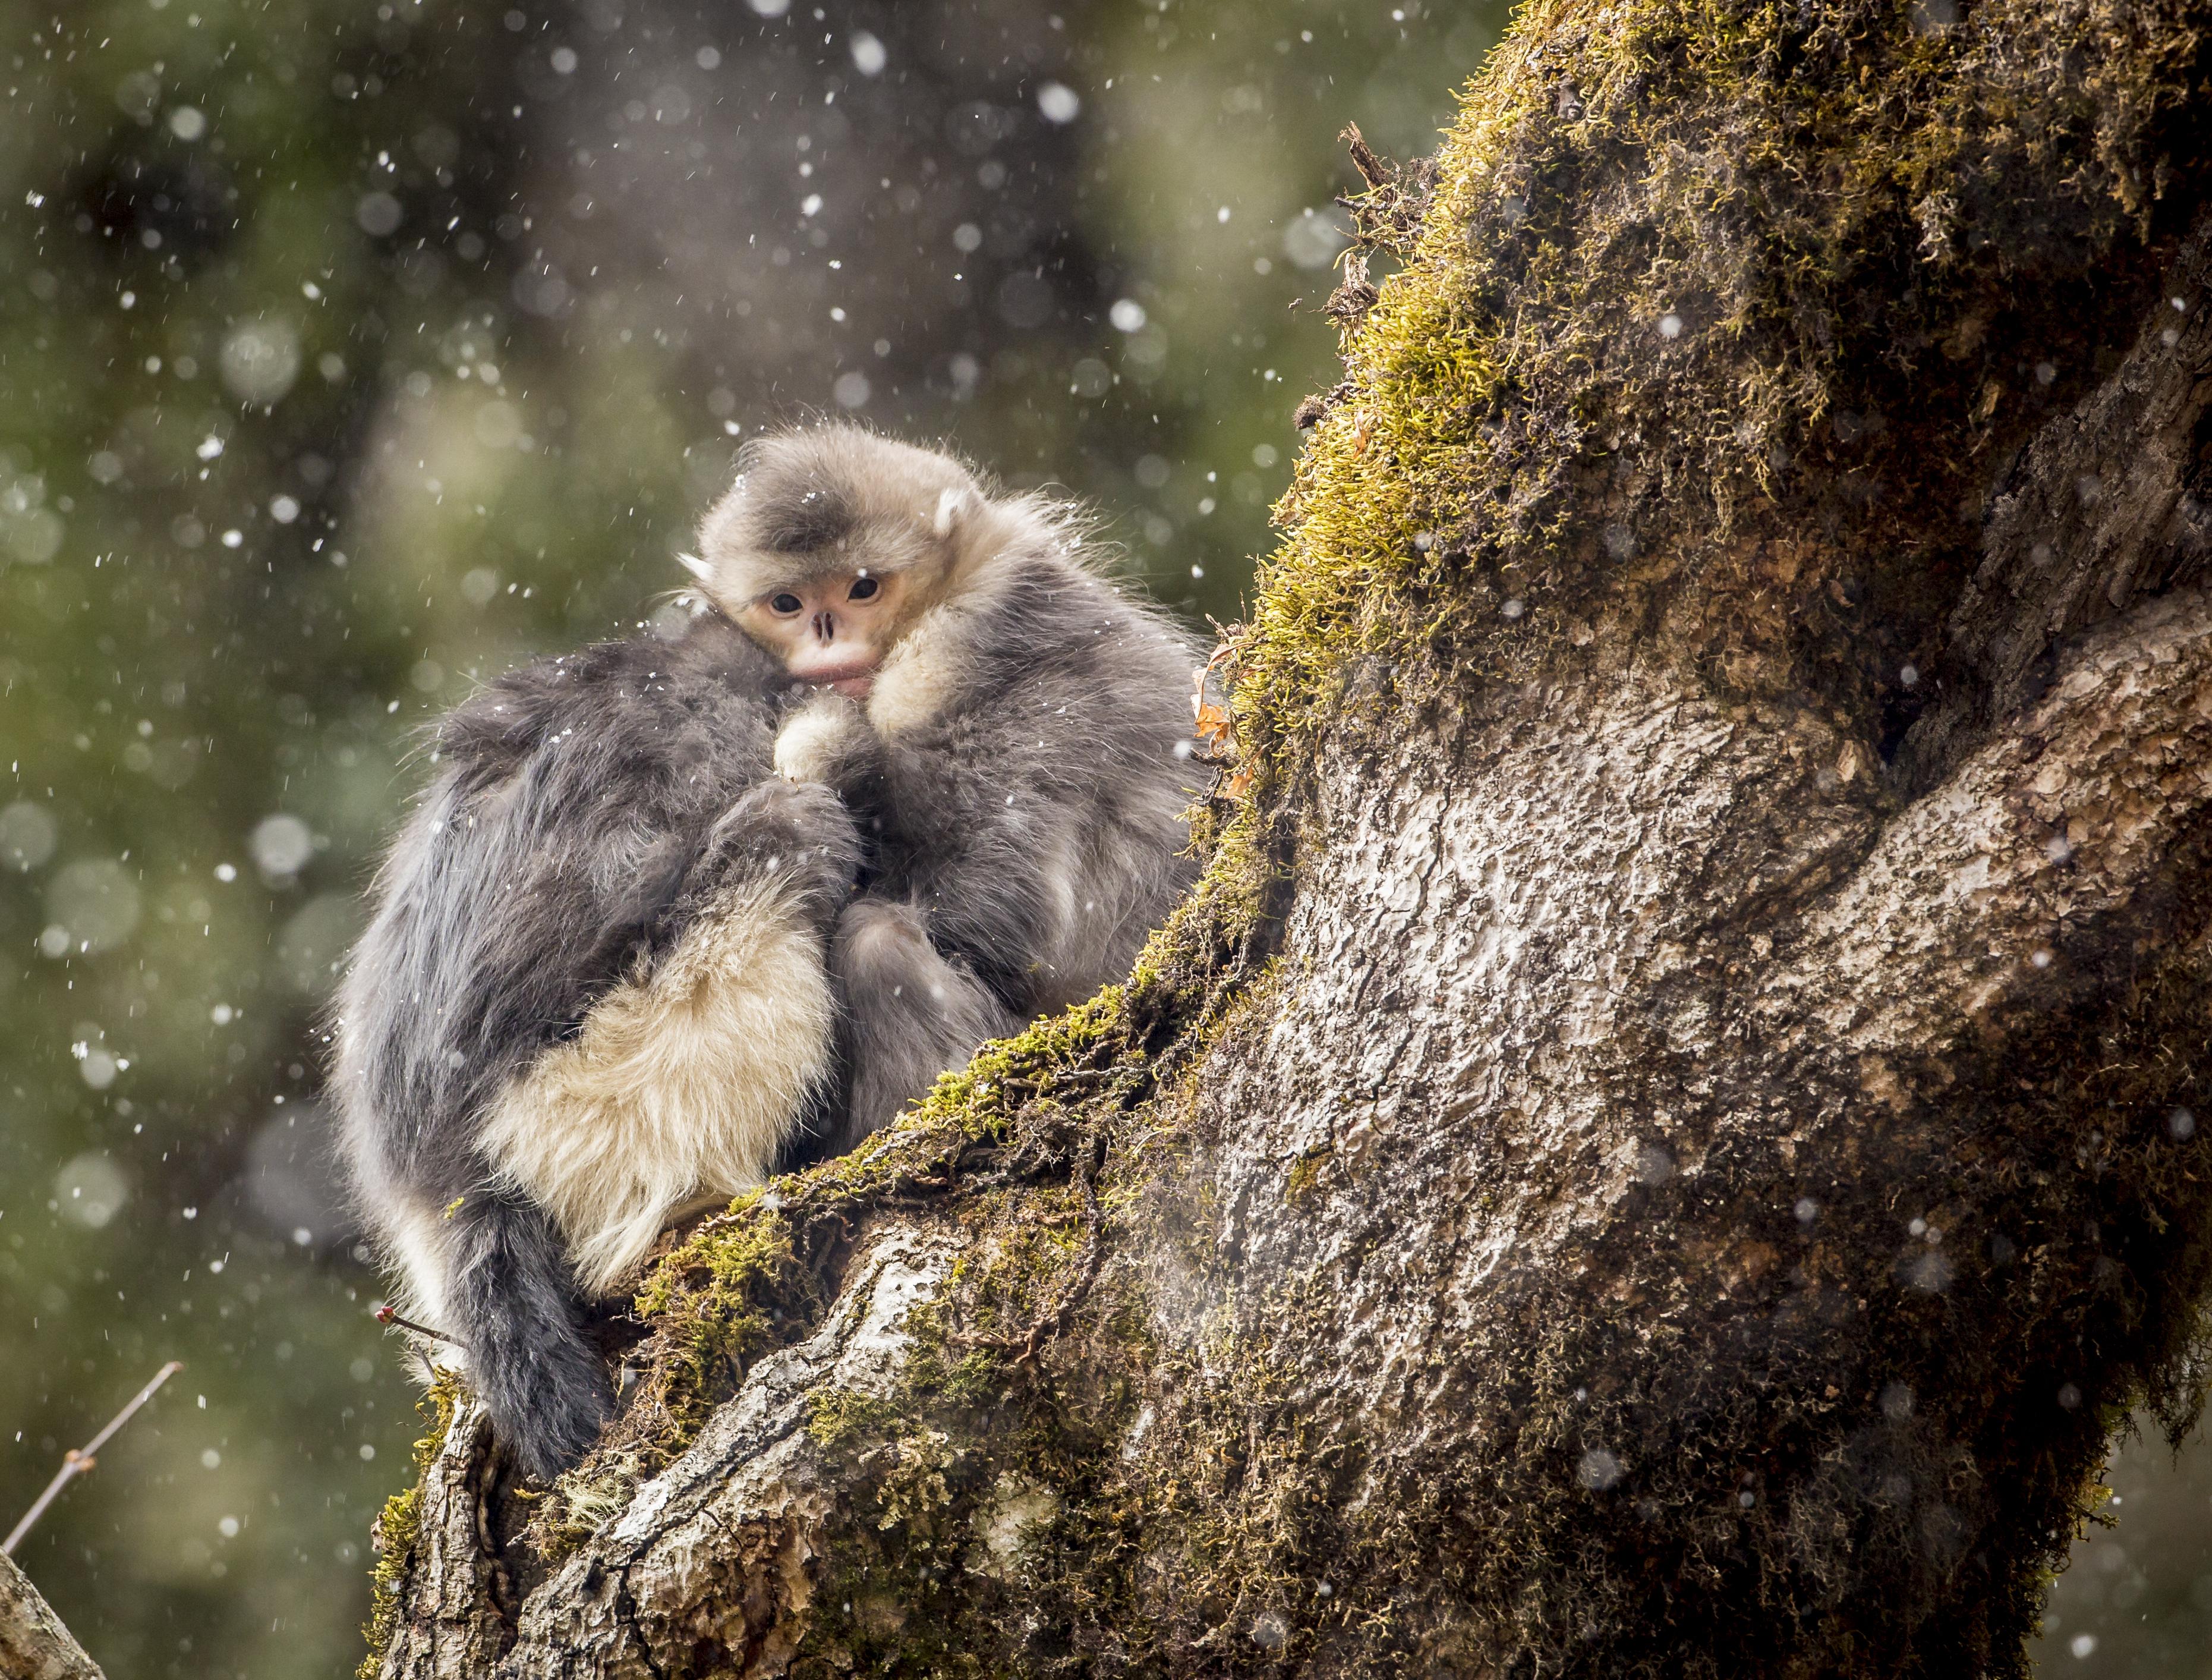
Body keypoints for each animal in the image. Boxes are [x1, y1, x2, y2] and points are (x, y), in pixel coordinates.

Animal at [333, 424, 1201, 1483]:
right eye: (790, 603)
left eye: (864, 587)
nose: (827, 640)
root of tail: (437, 1181)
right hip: (611, 1086)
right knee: (814, 857)